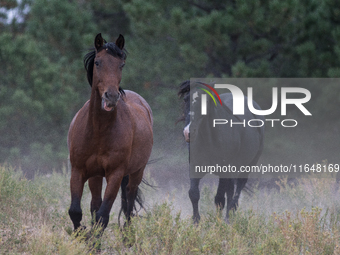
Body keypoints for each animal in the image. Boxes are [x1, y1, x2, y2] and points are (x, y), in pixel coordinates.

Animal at [67, 33, 153, 231]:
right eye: (98, 62)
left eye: (121, 64)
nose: (111, 96)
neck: (98, 131)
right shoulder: (78, 170)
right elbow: (76, 211)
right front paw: (82, 234)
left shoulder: (115, 174)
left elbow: (102, 216)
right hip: (96, 176)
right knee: (95, 203)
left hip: (136, 172)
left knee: (129, 203)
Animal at [179, 80, 264, 222]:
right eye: (185, 99)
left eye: (207, 101)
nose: (188, 132)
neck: (211, 140)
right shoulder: (195, 167)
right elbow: (194, 193)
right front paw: (196, 222)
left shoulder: (227, 169)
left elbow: (225, 196)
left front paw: (224, 222)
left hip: (246, 166)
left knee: (235, 192)